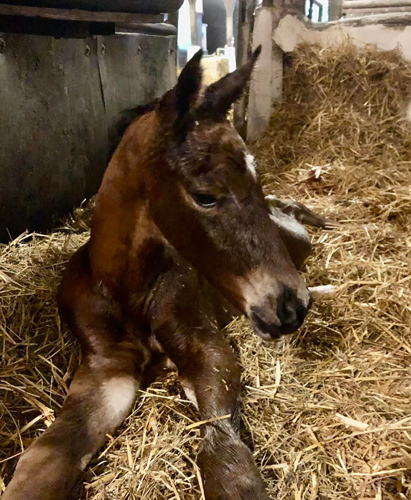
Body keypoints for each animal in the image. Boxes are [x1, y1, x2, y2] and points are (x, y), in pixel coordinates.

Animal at [4, 47, 318, 500]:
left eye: (256, 179)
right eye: (205, 196)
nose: (292, 305)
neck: (127, 289)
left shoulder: (205, 347)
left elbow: (226, 458)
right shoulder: (107, 366)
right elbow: (46, 459)